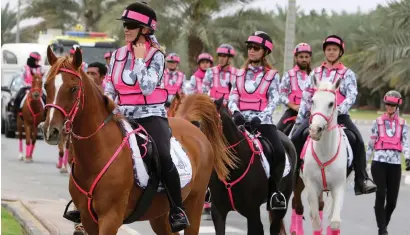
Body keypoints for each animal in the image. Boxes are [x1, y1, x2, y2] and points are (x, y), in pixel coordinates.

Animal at [42, 46, 237, 235]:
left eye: (73, 88)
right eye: (46, 85)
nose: (51, 131)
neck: (98, 153)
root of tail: (190, 124)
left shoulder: (110, 218)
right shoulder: (88, 219)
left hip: (194, 205)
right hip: (160, 216)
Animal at [302, 79, 350, 235]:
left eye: (331, 103)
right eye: (313, 100)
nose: (314, 130)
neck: (324, 152)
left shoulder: (339, 186)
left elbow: (334, 222)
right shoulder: (311, 186)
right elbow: (316, 221)